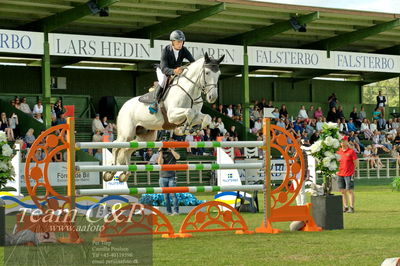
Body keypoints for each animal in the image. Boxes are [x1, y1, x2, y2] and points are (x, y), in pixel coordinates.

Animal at [103, 53, 225, 182]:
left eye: (219, 74)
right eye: (207, 72)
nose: (212, 97)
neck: (190, 90)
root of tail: (123, 106)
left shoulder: (197, 114)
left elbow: (206, 117)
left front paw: (194, 128)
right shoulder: (172, 115)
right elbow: (189, 112)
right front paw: (183, 129)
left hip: (146, 137)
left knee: (127, 149)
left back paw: (125, 174)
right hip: (127, 133)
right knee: (116, 146)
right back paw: (110, 172)